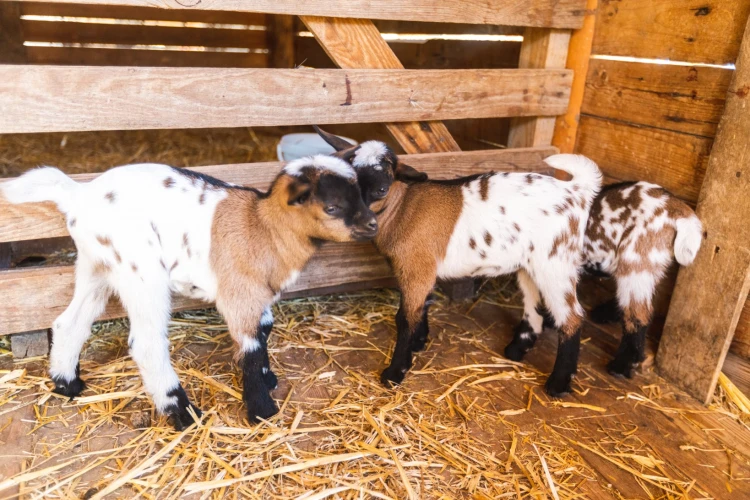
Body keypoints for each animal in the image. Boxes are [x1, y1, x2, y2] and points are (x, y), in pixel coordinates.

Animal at [316, 127, 604, 396]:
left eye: (381, 189)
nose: (359, 223)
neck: (401, 209)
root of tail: (575, 191)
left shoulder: (416, 268)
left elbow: (405, 318)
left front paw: (395, 372)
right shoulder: (423, 269)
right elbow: (424, 305)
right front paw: (420, 342)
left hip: (555, 262)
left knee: (571, 316)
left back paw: (558, 384)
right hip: (531, 264)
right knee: (534, 306)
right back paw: (516, 349)